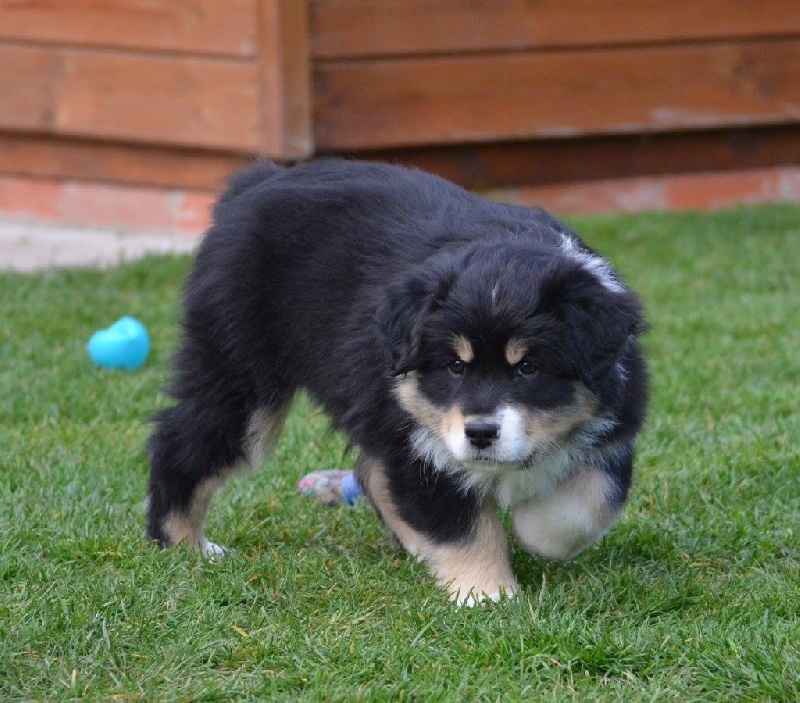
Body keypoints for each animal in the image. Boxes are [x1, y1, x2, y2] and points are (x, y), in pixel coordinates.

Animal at [146, 158, 647, 605]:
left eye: (529, 369)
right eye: (455, 366)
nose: (481, 434)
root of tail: (256, 182)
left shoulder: (614, 418)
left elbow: (592, 502)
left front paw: (536, 531)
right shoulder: (416, 440)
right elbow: (461, 526)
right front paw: (486, 594)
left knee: (369, 471)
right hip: (239, 370)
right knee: (182, 440)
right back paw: (183, 546)